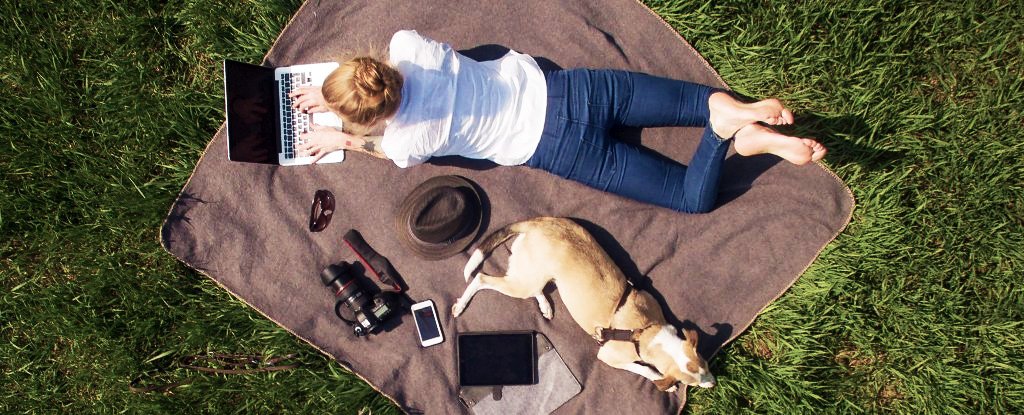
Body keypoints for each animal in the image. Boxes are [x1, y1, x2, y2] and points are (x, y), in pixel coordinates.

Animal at [452, 216, 716, 391]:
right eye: (688, 383)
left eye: (705, 365)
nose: (714, 384)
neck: (647, 330)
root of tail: (536, 223)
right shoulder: (609, 356)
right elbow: (643, 368)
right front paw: (660, 380)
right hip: (520, 282)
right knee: (480, 278)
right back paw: (462, 304)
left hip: (534, 273)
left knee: (535, 287)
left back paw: (545, 305)